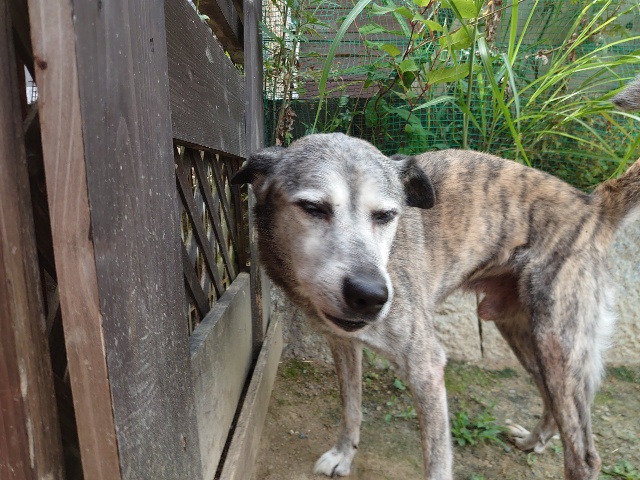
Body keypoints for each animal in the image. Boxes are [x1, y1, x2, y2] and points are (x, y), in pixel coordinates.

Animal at [231, 80, 640, 480]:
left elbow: (438, 459)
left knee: (584, 454)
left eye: (386, 215)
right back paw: (532, 441)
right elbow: (352, 407)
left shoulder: (426, 366)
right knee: (552, 403)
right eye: (313, 208)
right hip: (524, 333)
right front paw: (344, 455)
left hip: (558, 343)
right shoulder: (343, 344)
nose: (372, 296)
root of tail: (593, 204)